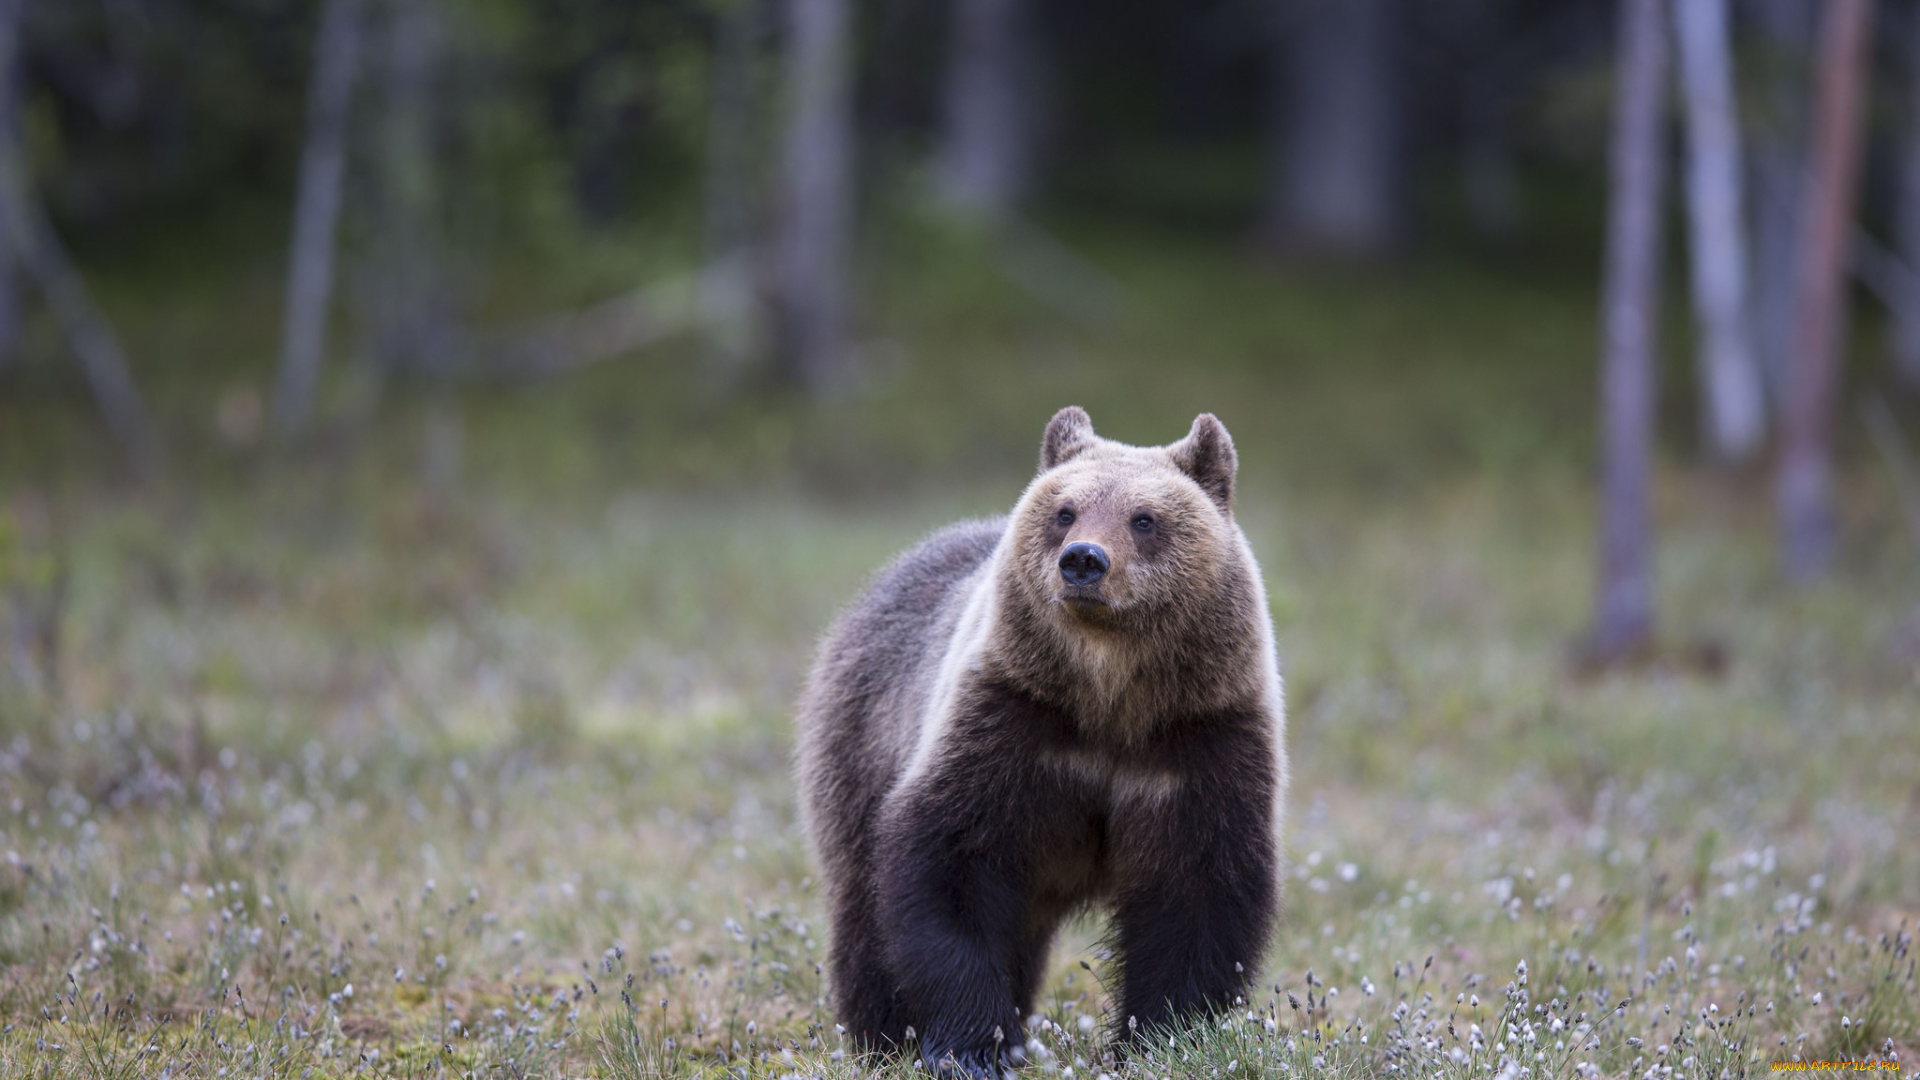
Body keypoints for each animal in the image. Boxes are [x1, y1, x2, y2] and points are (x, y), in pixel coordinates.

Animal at [794, 405, 1290, 1076]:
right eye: (1065, 511)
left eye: (1144, 518)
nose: (1083, 559)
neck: (1110, 703)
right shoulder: (1011, 725)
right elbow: (951, 863)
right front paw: (973, 1045)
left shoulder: (1198, 739)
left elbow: (1197, 893)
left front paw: (1161, 1039)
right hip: (861, 739)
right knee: (863, 910)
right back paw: (880, 1036)